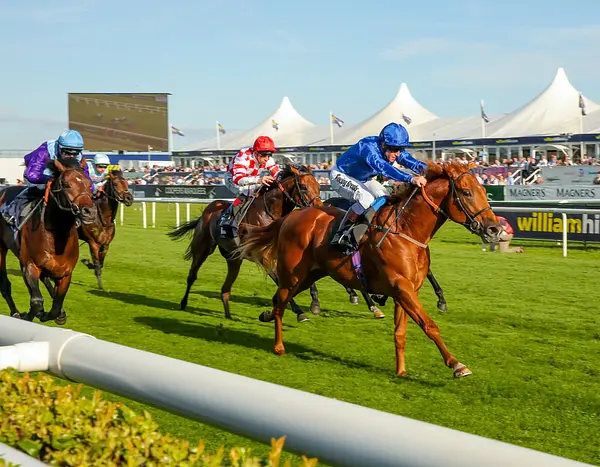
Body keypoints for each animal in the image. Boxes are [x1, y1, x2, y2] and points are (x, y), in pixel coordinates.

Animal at [0, 157, 97, 325]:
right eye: (66, 184)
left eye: (89, 183)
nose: (89, 212)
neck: (56, 235)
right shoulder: (29, 265)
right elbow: (37, 301)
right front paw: (30, 314)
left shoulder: (65, 273)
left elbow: (56, 305)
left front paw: (55, 314)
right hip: (0, 248)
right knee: (5, 284)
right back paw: (15, 312)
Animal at [167, 164, 322, 321]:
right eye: (303, 187)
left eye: (318, 186)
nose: (319, 208)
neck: (269, 214)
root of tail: (207, 211)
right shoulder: (263, 257)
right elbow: (281, 282)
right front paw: (299, 312)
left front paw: (314, 304)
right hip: (202, 248)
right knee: (192, 276)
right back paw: (183, 303)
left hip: (234, 258)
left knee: (225, 288)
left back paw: (228, 315)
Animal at [236, 161, 502, 378]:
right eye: (466, 193)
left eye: (483, 191)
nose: (494, 229)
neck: (406, 230)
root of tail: (290, 217)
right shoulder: (402, 288)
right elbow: (429, 325)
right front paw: (456, 364)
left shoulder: (405, 292)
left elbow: (400, 332)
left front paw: (401, 370)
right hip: (293, 275)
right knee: (281, 301)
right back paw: (279, 346)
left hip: (309, 275)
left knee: (278, 298)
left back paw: (269, 315)